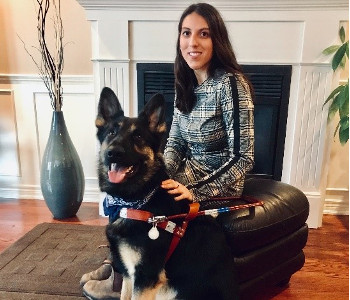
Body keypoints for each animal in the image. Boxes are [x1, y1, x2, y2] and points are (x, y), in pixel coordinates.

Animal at [90, 87, 238, 300]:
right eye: (111, 132)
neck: (139, 201)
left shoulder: (145, 278)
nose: (113, 152)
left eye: (138, 137)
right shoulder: (129, 275)